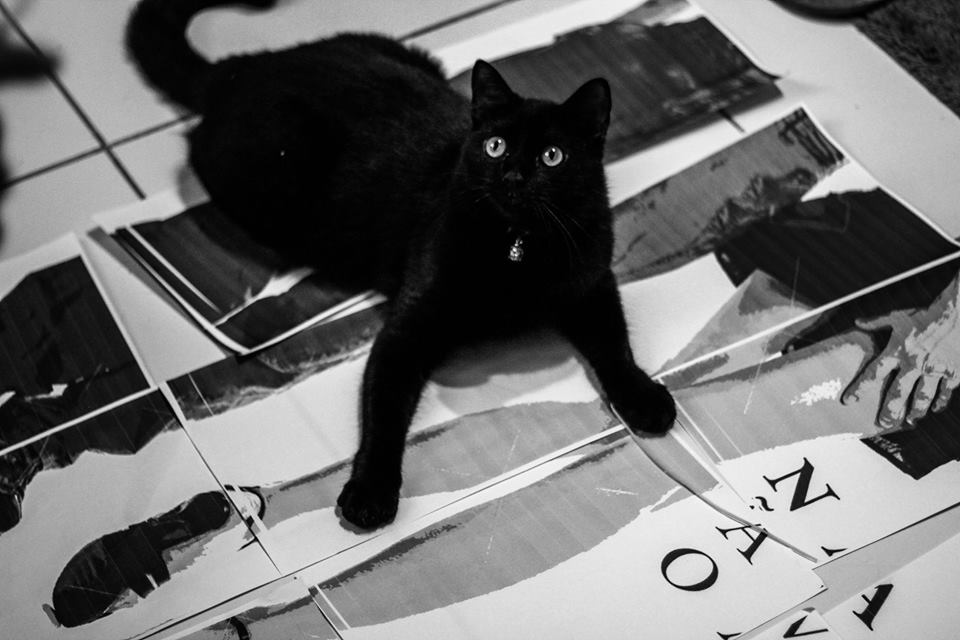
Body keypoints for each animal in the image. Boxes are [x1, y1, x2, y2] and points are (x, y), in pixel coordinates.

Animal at [127, 0, 676, 530]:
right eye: (494, 146)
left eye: (552, 156)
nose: (513, 176)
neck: (516, 247)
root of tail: (240, 69)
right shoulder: (406, 331)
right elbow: (384, 413)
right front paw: (370, 493)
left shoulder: (593, 283)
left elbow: (615, 345)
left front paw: (644, 399)